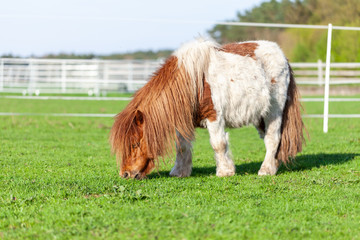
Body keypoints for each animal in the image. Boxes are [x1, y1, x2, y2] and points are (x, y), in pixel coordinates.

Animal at [110, 37, 306, 179]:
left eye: (135, 144)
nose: (125, 174)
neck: (192, 83)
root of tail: (283, 57)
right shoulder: (183, 122)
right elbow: (182, 147)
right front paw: (179, 172)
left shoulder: (214, 117)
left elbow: (218, 144)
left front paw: (225, 172)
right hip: (259, 117)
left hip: (274, 111)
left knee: (273, 139)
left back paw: (266, 170)